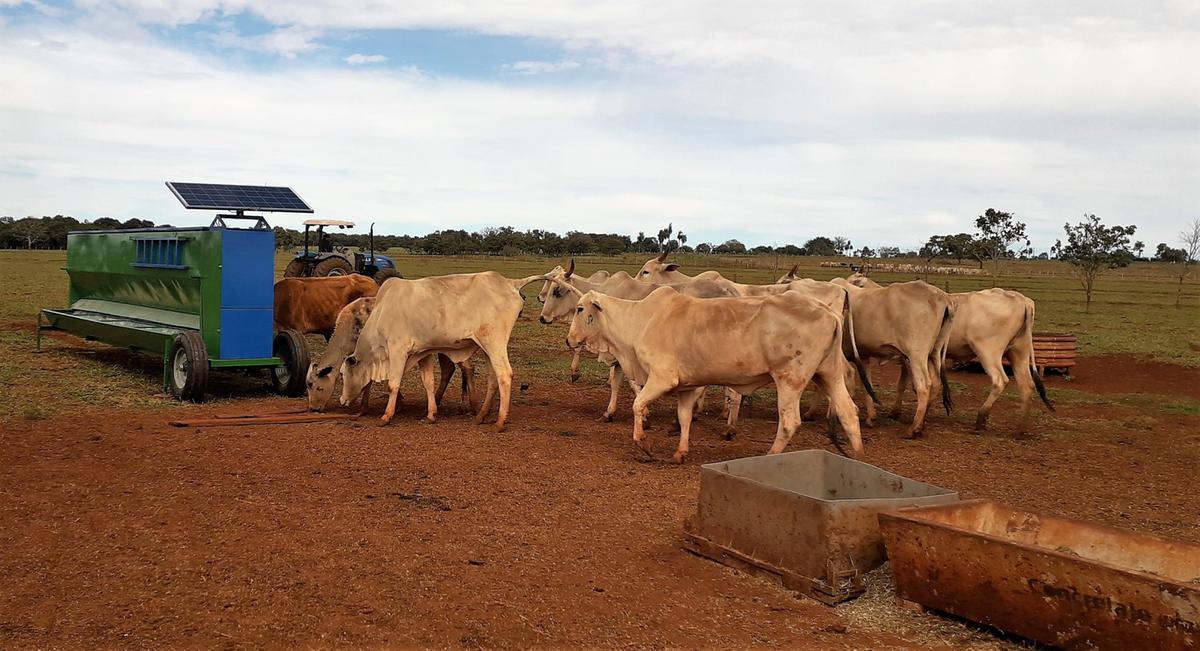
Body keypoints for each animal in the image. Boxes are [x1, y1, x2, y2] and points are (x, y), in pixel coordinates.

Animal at [338, 272, 544, 432]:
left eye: (342, 374)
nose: (342, 400)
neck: (382, 312)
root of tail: (509, 282)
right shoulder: (423, 352)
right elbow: (428, 382)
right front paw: (431, 414)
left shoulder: (398, 349)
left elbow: (393, 384)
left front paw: (386, 416)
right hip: (488, 349)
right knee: (493, 379)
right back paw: (481, 415)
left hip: (495, 344)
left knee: (504, 375)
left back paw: (500, 421)